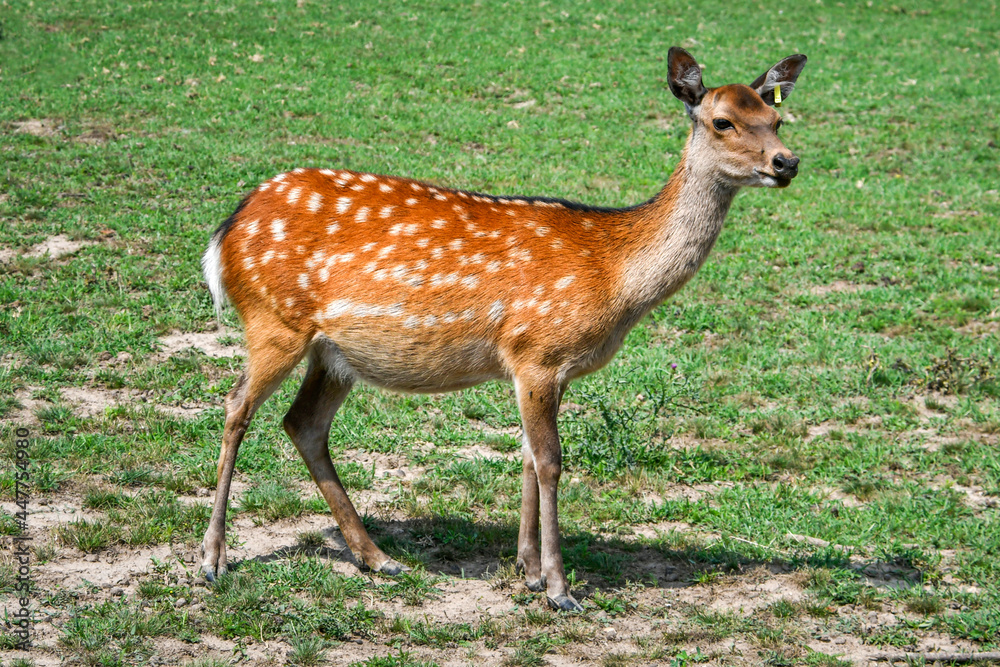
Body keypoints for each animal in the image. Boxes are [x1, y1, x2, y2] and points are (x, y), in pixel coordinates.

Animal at [199, 47, 806, 612]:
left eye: (777, 119)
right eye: (722, 121)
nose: (787, 162)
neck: (614, 277)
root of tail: (227, 231)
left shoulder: (537, 366)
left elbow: (527, 458)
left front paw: (527, 570)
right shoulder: (538, 351)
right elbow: (552, 462)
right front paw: (559, 589)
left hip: (334, 354)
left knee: (302, 423)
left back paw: (377, 557)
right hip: (274, 320)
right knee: (236, 407)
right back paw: (212, 559)